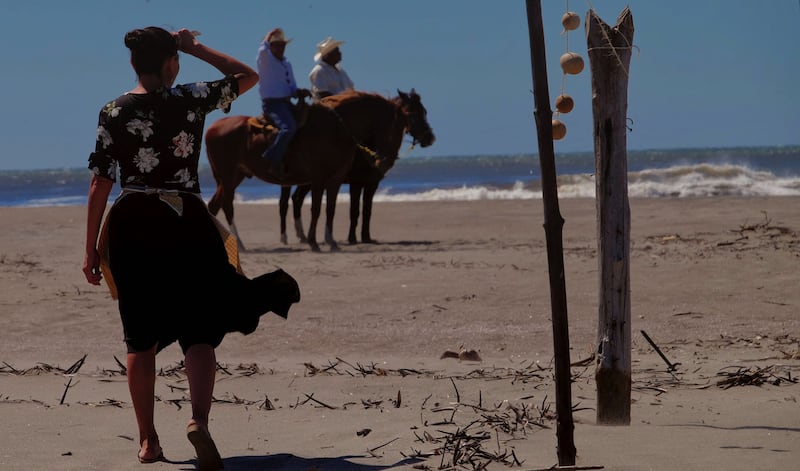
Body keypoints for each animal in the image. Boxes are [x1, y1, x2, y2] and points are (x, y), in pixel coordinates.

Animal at [205, 101, 358, 253]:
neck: (332, 132)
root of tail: (213, 128)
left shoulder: (335, 181)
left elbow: (330, 210)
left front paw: (332, 242)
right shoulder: (318, 180)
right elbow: (316, 210)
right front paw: (313, 242)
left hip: (235, 177)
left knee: (214, 206)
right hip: (228, 177)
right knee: (227, 207)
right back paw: (240, 244)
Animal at [278, 90, 434, 249]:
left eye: (424, 112)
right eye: (412, 114)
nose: (429, 138)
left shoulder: (372, 183)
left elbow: (367, 210)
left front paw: (366, 237)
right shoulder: (356, 183)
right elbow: (354, 210)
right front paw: (352, 238)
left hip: (307, 182)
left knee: (297, 199)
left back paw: (302, 236)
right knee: (285, 203)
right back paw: (285, 237)